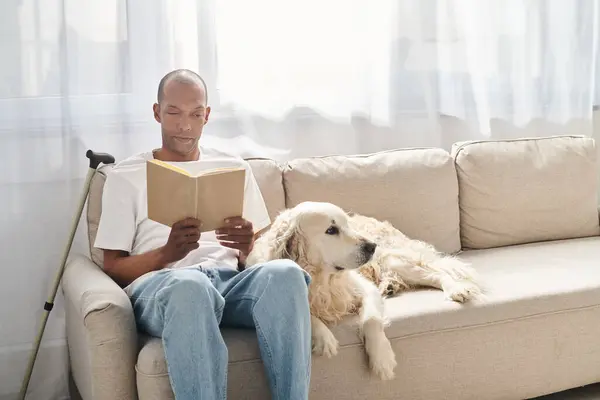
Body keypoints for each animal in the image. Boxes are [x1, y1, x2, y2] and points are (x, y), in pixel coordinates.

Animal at [244, 202, 478, 380]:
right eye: (331, 230)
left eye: (347, 225)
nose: (371, 246)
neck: (321, 280)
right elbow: (305, 312)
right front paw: (324, 337)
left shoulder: (364, 288)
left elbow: (371, 320)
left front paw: (382, 358)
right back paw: (390, 286)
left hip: (393, 259)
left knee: (437, 273)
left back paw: (455, 288)